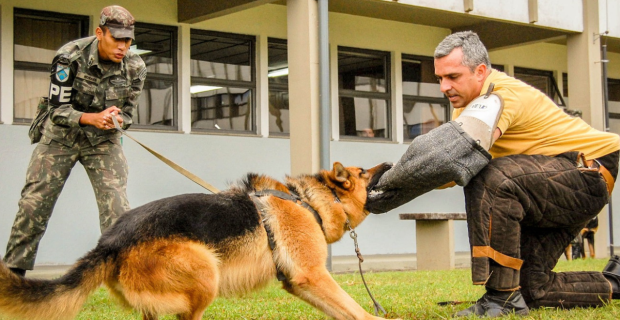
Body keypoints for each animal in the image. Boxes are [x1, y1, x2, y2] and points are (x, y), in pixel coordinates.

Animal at [0, 162, 394, 320]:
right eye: (362, 173)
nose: (390, 163)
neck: (307, 200)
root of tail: (110, 241)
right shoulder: (314, 275)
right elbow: (355, 308)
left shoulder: (301, 283)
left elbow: (343, 311)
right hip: (207, 271)